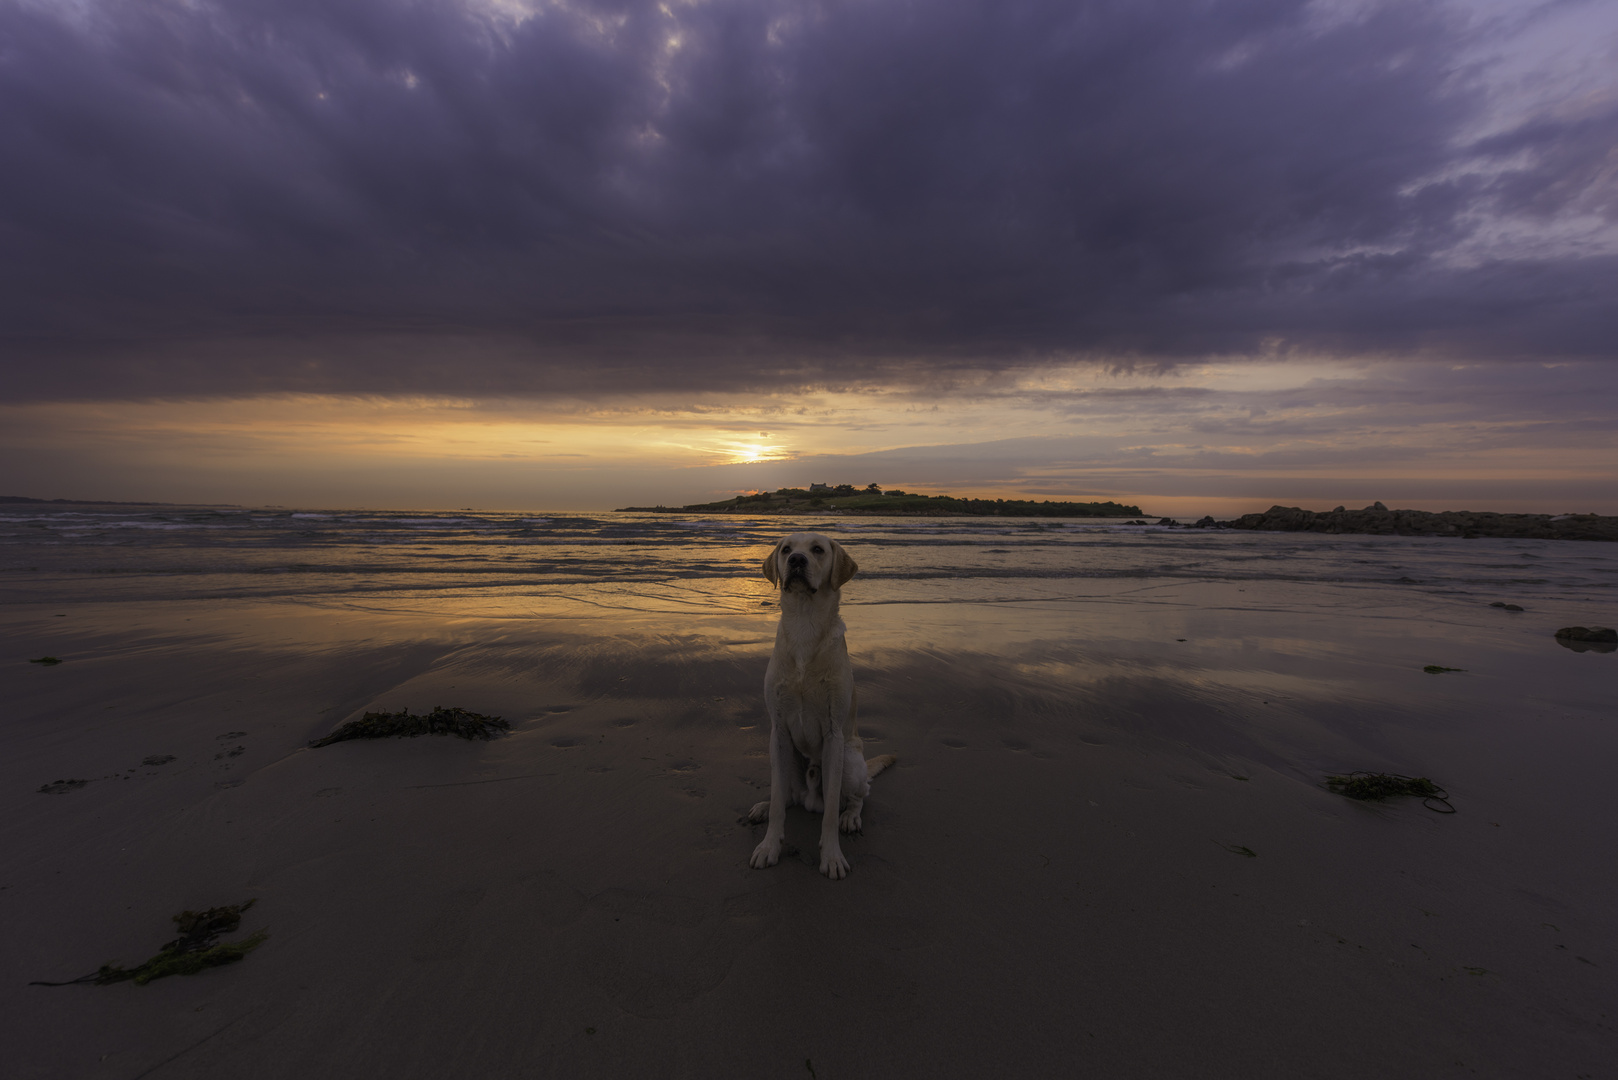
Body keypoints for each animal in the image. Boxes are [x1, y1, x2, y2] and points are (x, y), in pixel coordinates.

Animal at [747, 531, 899, 880]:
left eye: (817, 549)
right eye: (786, 549)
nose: (796, 560)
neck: (805, 622)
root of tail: (809, 799)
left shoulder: (833, 736)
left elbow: (830, 810)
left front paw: (831, 856)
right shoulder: (778, 731)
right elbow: (779, 802)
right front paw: (769, 845)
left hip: (849, 760)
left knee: (859, 795)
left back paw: (851, 817)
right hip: (784, 756)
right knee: (787, 796)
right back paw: (764, 806)